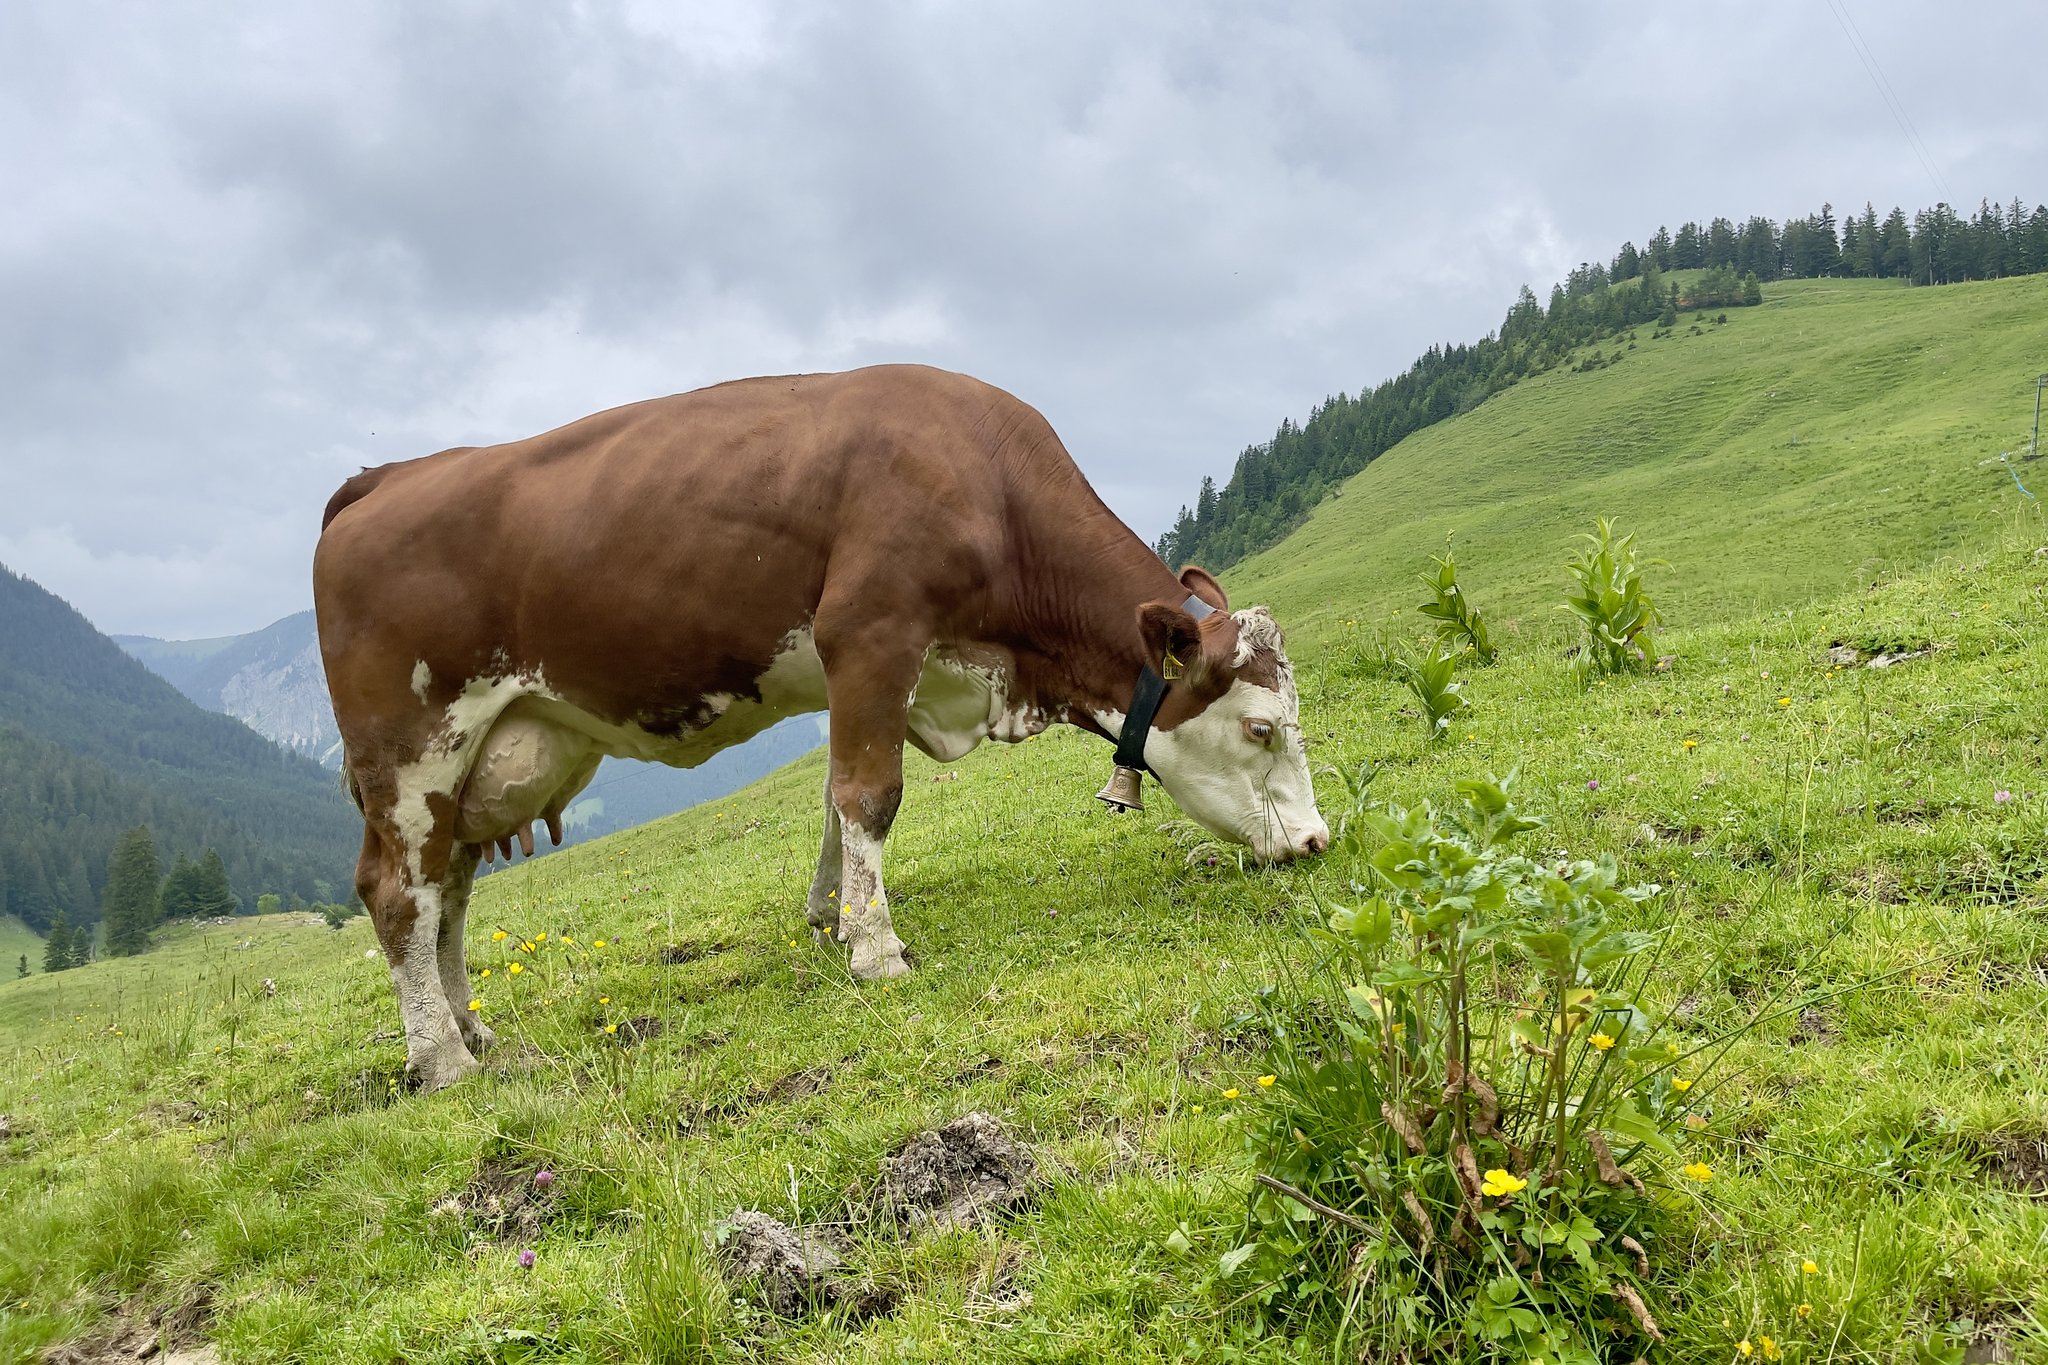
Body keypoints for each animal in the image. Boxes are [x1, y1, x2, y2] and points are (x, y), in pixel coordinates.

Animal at [315, 364, 1328, 1089]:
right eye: (1262, 728)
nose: (1318, 840)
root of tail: (383, 478)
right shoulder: (871, 633)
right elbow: (871, 795)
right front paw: (877, 950)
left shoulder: (870, 675)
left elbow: (836, 807)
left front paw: (832, 918)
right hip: (410, 746)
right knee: (397, 892)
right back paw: (440, 1059)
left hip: (474, 760)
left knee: (447, 887)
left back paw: (470, 1027)